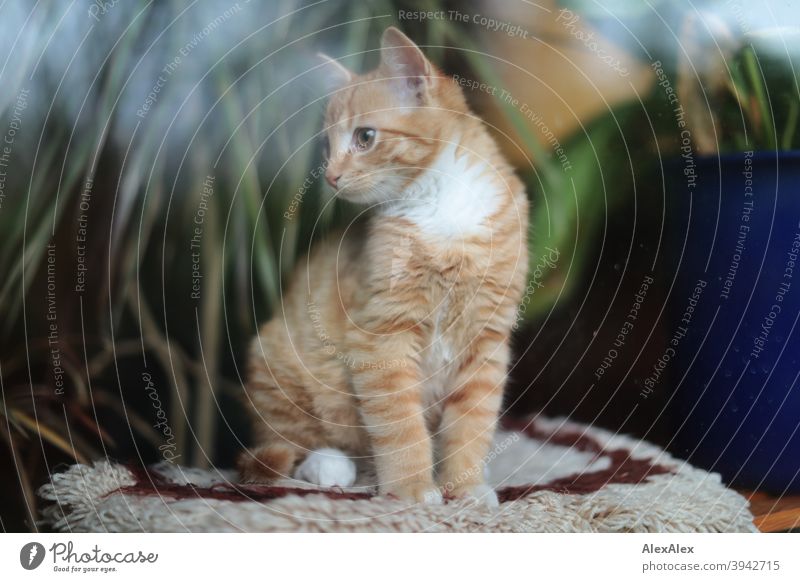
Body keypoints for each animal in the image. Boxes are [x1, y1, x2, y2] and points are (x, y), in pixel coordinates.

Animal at [238, 27, 528, 508]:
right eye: (326, 145)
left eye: (365, 137)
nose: (330, 176)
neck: (440, 206)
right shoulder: (380, 334)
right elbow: (399, 423)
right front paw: (412, 488)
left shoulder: (486, 338)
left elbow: (471, 423)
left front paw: (465, 486)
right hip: (278, 355)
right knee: (288, 443)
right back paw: (330, 465)